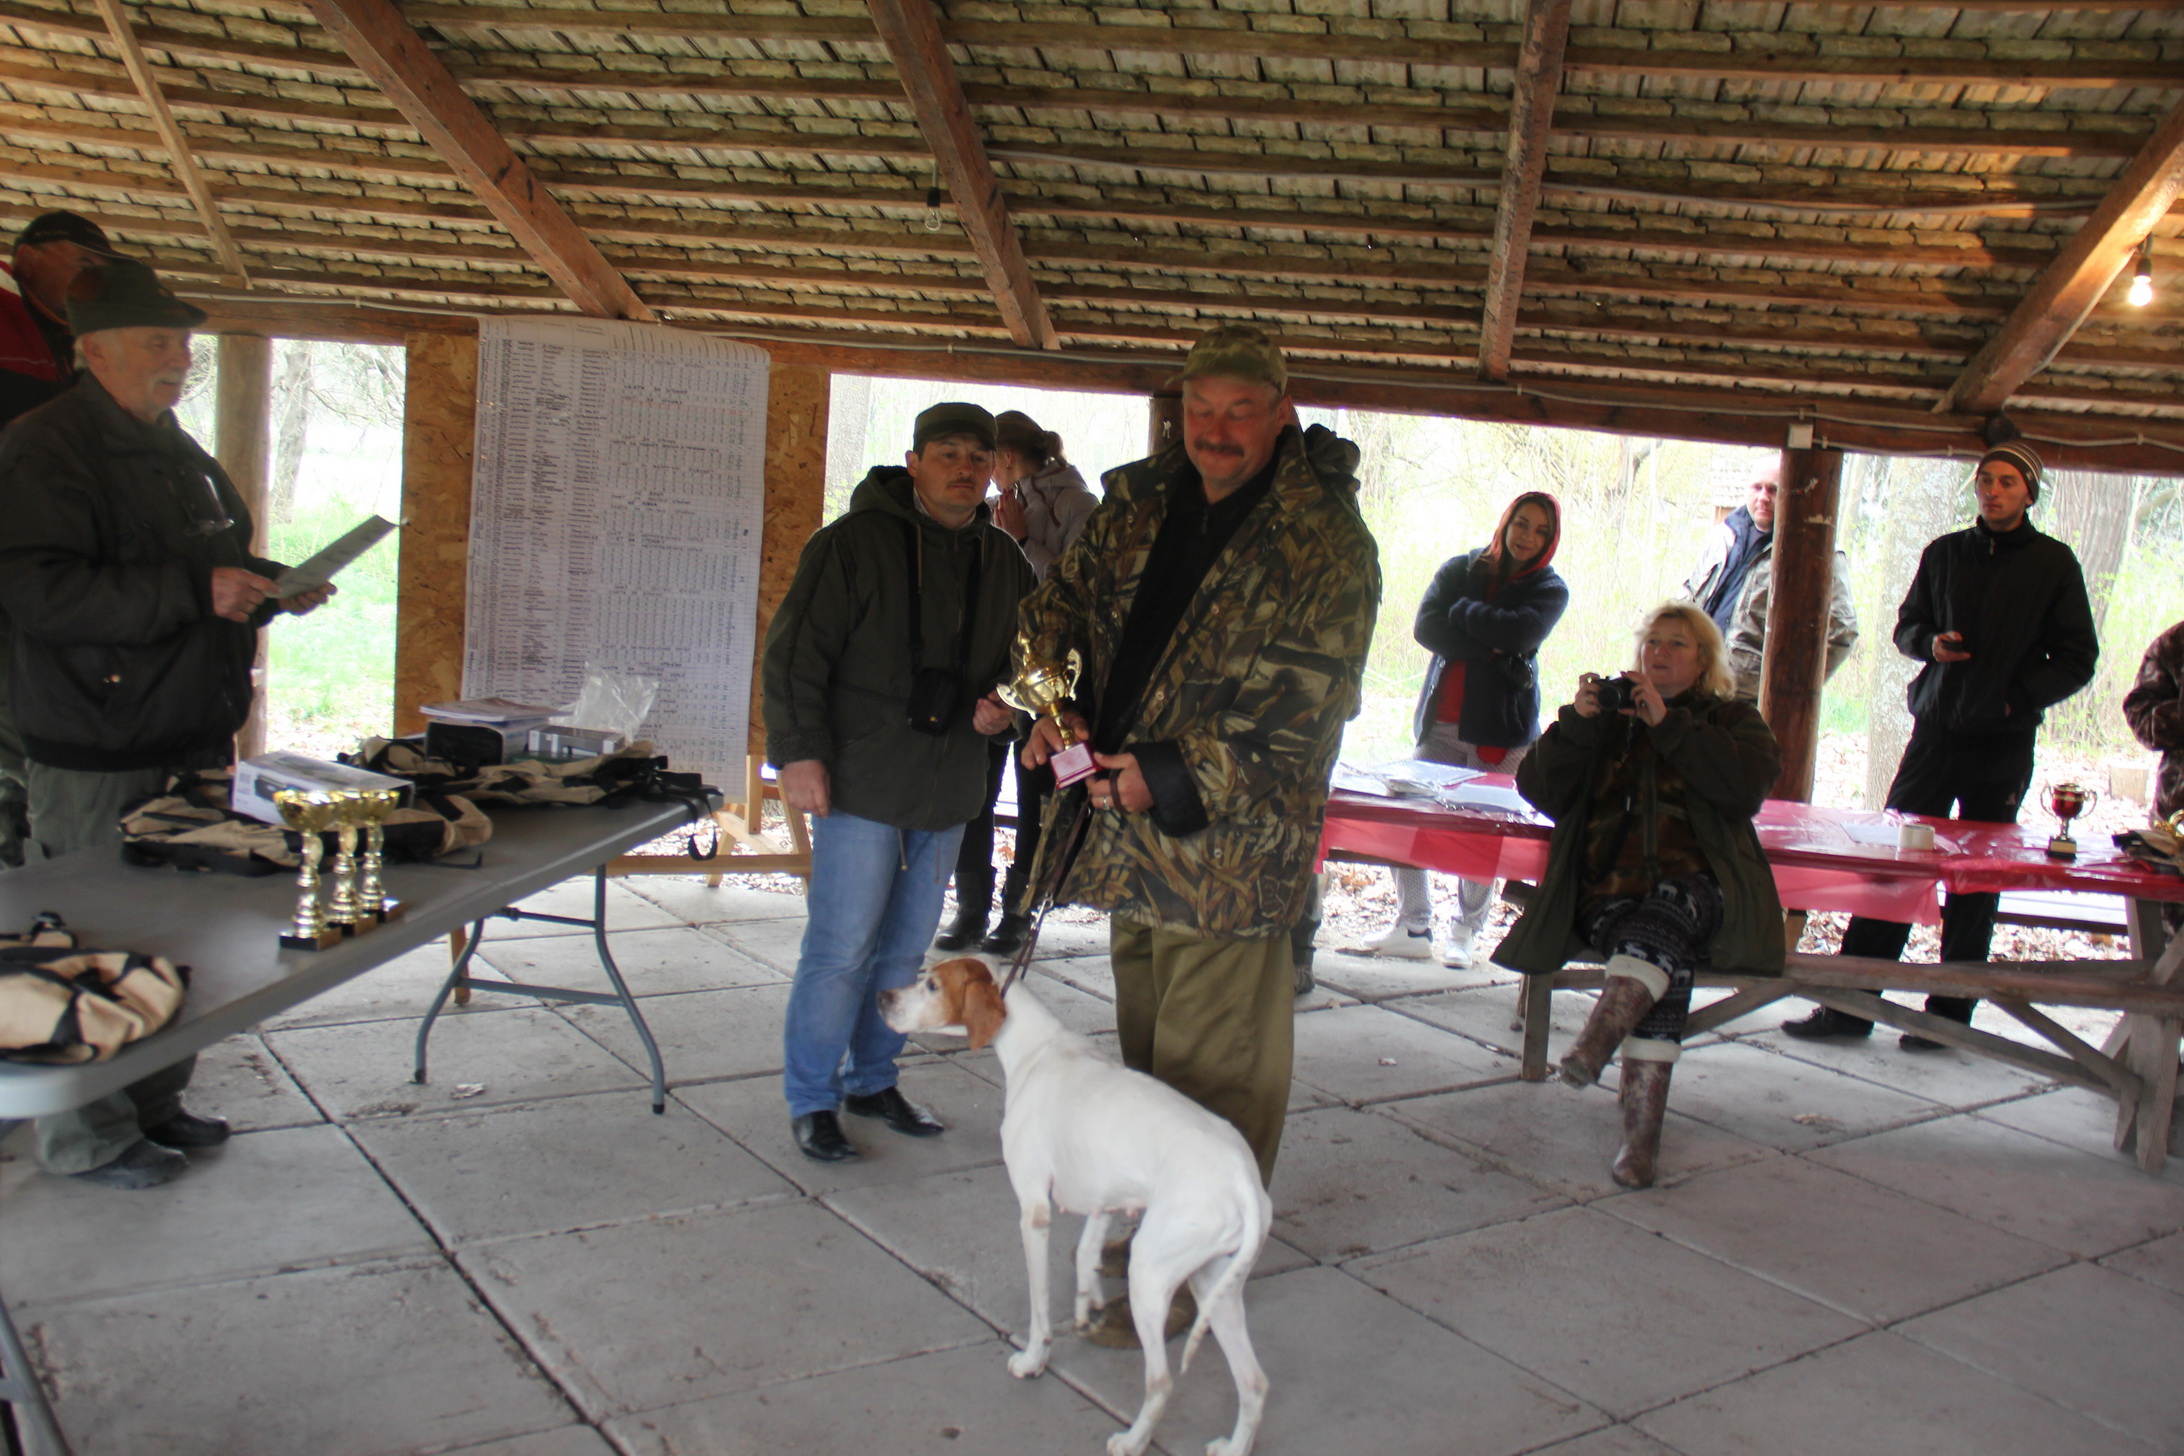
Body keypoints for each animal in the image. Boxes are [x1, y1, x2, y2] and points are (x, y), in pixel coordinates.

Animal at [880, 956, 1271, 1456]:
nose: (882, 998)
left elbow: (1040, 1301)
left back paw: (1132, 1440)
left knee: (1161, 1382)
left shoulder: (1033, 1211)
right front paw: (1088, 1302)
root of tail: (1243, 1180)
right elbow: (1087, 1251)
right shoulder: (1104, 1195)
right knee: (1254, 1384)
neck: (1037, 1047)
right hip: (1214, 1286)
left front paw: (1034, 1358)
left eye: (931, 984)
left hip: (1150, 1276)